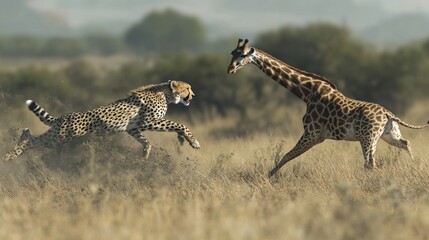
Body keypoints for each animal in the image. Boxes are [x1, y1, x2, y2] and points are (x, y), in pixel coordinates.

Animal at [3, 80, 201, 161]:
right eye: (187, 88)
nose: (193, 95)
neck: (165, 94)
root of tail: (64, 116)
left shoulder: (133, 127)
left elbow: (145, 140)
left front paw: (145, 153)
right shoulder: (148, 121)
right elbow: (179, 124)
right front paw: (193, 141)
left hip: (58, 135)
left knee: (28, 133)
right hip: (60, 136)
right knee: (32, 140)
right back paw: (10, 155)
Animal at [226, 38, 426, 176]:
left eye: (243, 55)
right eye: (232, 53)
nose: (230, 69)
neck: (306, 92)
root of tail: (388, 114)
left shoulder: (312, 133)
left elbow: (285, 156)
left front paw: (268, 177)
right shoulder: (318, 137)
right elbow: (287, 156)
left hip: (367, 137)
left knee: (370, 163)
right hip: (388, 134)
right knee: (405, 144)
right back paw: (414, 166)